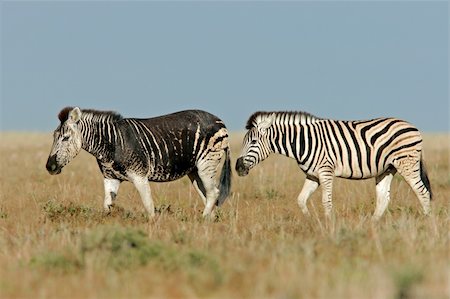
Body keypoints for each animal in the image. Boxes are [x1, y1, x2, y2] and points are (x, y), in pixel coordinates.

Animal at [44, 107, 232, 218]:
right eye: (54, 137)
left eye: (65, 138)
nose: (49, 167)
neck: (112, 143)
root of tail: (219, 120)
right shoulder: (110, 178)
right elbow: (107, 206)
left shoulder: (139, 176)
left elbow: (148, 205)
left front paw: (152, 228)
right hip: (194, 171)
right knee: (207, 195)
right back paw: (208, 222)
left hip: (207, 163)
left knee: (214, 193)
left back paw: (202, 220)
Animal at [236, 111, 432, 221]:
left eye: (253, 142)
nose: (237, 167)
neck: (303, 142)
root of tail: (413, 126)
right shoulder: (312, 175)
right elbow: (301, 199)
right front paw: (310, 221)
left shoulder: (325, 171)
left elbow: (326, 200)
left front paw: (330, 225)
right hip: (386, 169)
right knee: (384, 198)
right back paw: (372, 225)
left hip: (406, 163)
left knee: (423, 192)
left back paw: (428, 222)